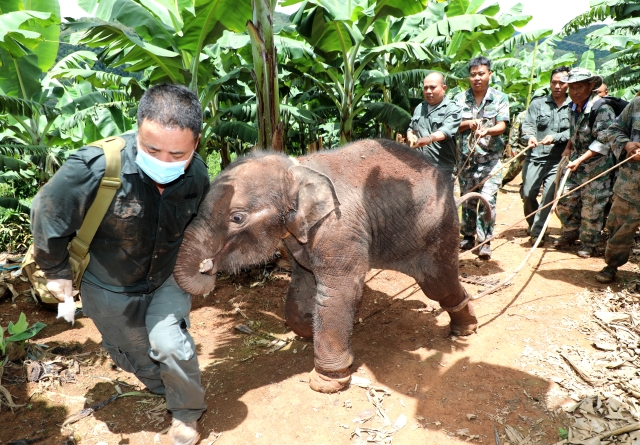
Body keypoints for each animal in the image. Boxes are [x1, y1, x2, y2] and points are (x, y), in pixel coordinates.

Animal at [175, 138, 480, 392]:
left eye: (237, 218)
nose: (207, 267)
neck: (297, 169)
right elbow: (303, 283)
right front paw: (310, 329)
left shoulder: (338, 228)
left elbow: (338, 291)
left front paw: (327, 381)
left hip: (436, 226)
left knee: (437, 284)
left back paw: (464, 329)